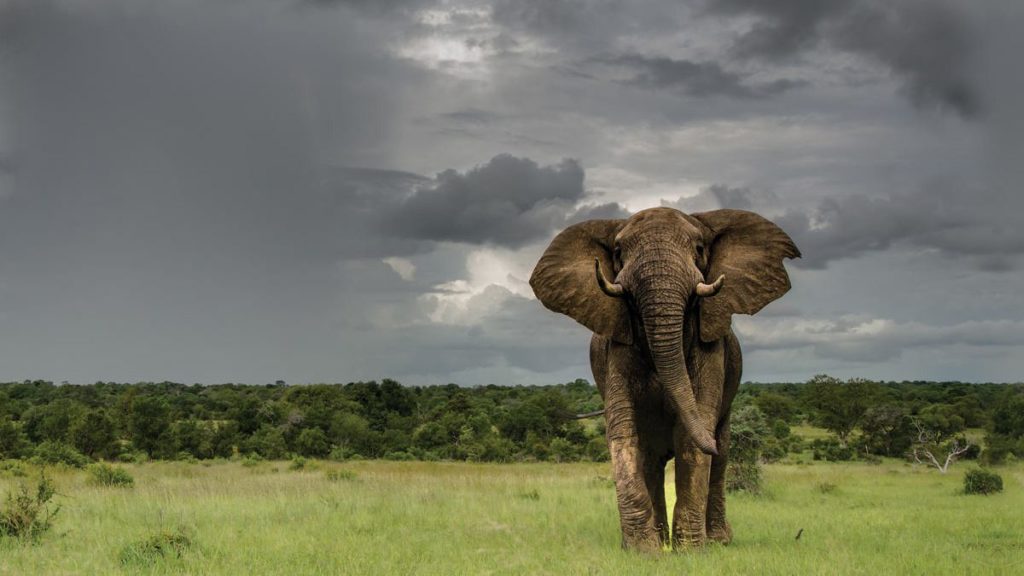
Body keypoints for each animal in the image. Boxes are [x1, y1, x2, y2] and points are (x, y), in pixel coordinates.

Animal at [529, 207, 799, 551]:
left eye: (699, 248)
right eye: (618, 252)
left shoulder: (712, 351)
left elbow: (693, 436)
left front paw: (691, 551)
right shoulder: (616, 349)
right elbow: (624, 433)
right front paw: (643, 551)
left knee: (721, 453)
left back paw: (717, 540)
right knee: (653, 460)